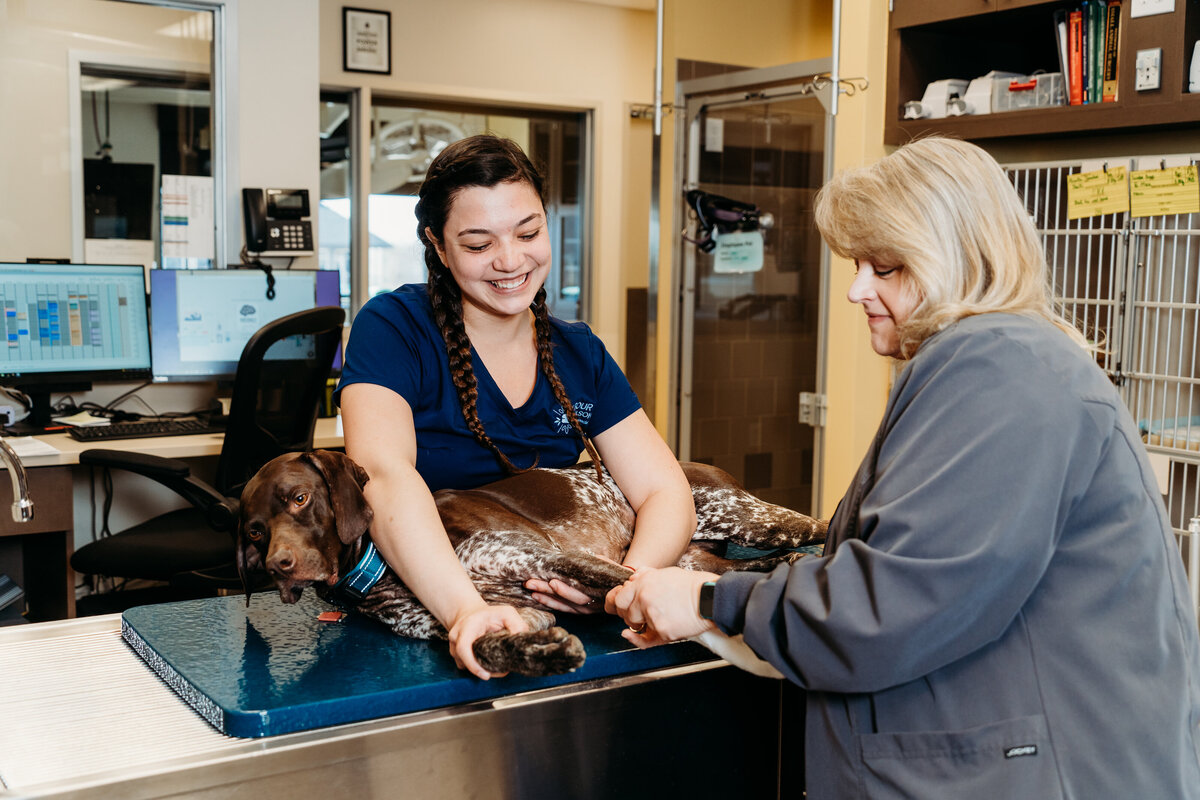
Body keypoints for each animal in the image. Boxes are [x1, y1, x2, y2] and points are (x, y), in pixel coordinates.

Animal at [238, 450, 830, 676]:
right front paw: (545, 653)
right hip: (697, 560)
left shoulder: (557, 559)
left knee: (819, 525)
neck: (382, 567)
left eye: (298, 498)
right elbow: (488, 642)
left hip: (752, 517)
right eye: (254, 531)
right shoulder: (502, 615)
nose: (281, 565)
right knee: (727, 576)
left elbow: (622, 586)